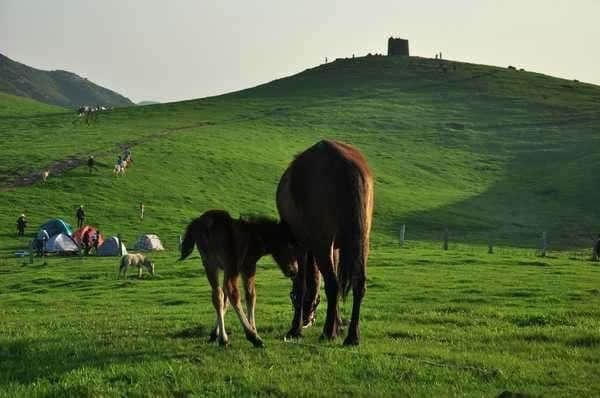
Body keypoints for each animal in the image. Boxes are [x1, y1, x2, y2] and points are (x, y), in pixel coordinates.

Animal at [179, 210, 298, 346]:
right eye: (290, 246)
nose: (294, 271)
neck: (255, 236)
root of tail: (207, 223)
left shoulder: (225, 269)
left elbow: (225, 301)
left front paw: (215, 333)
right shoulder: (248, 266)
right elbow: (250, 295)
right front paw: (253, 328)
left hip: (210, 264)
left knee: (217, 295)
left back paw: (224, 339)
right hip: (232, 265)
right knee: (233, 293)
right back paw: (252, 337)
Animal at [278, 140, 372, 346]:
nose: (307, 320)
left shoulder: (301, 246)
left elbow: (302, 283)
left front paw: (295, 329)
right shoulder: (335, 248)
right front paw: (339, 323)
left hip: (322, 244)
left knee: (333, 284)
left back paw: (328, 332)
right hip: (362, 241)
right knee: (358, 284)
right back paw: (352, 336)